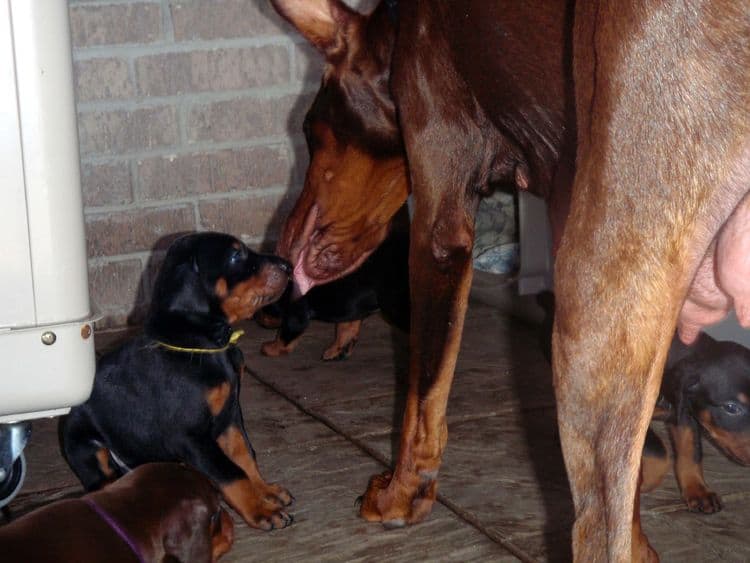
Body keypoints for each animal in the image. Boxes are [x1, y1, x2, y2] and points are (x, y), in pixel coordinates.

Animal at [60, 234, 296, 532]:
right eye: (235, 256)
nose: (289, 266)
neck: (203, 342)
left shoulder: (230, 414)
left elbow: (244, 455)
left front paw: (265, 492)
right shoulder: (190, 434)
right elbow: (229, 472)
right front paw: (260, 510)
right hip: (86, 442)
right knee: (100, 481)